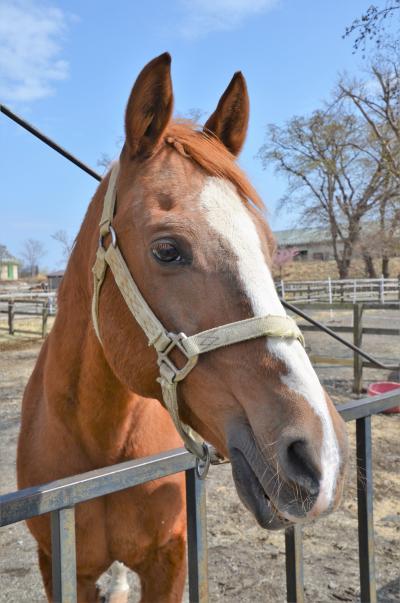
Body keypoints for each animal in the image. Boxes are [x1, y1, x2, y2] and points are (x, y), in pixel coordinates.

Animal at [16, 53, 346, 603]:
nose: (319, 454)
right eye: (167, 249)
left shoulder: (170, 561)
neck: (99, 444)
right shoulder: (58, 566)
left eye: (267, 246)